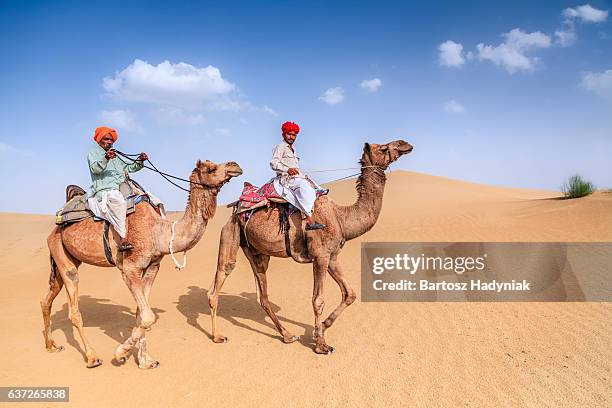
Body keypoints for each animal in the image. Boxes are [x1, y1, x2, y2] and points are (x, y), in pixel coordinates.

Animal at [40, 160, 241, 370]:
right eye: (211, 168)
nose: (235, 166)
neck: (159, 232)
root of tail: (55, 228)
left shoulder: (152, 267)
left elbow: (141, 314)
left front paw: (146, 361)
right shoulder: (130, 268)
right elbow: (148, 316)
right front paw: (121, 353)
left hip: (64, 258)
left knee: (47, 299)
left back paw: (51, 346)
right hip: (62, 254)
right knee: (73, 304)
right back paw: (92, 357)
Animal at [208, 140, 414, 354]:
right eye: (383, 147)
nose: (405, 144)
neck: (341, 217)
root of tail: (235, 209)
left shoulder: (331, 257)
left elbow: (350, 294)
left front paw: (321, 328)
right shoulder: (320, 256)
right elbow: (318, 300)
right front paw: (321, 344)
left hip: (257, 252)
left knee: (263, 295)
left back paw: (288, 335)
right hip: (230, 233)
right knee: (220, 279)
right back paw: (217, 336)